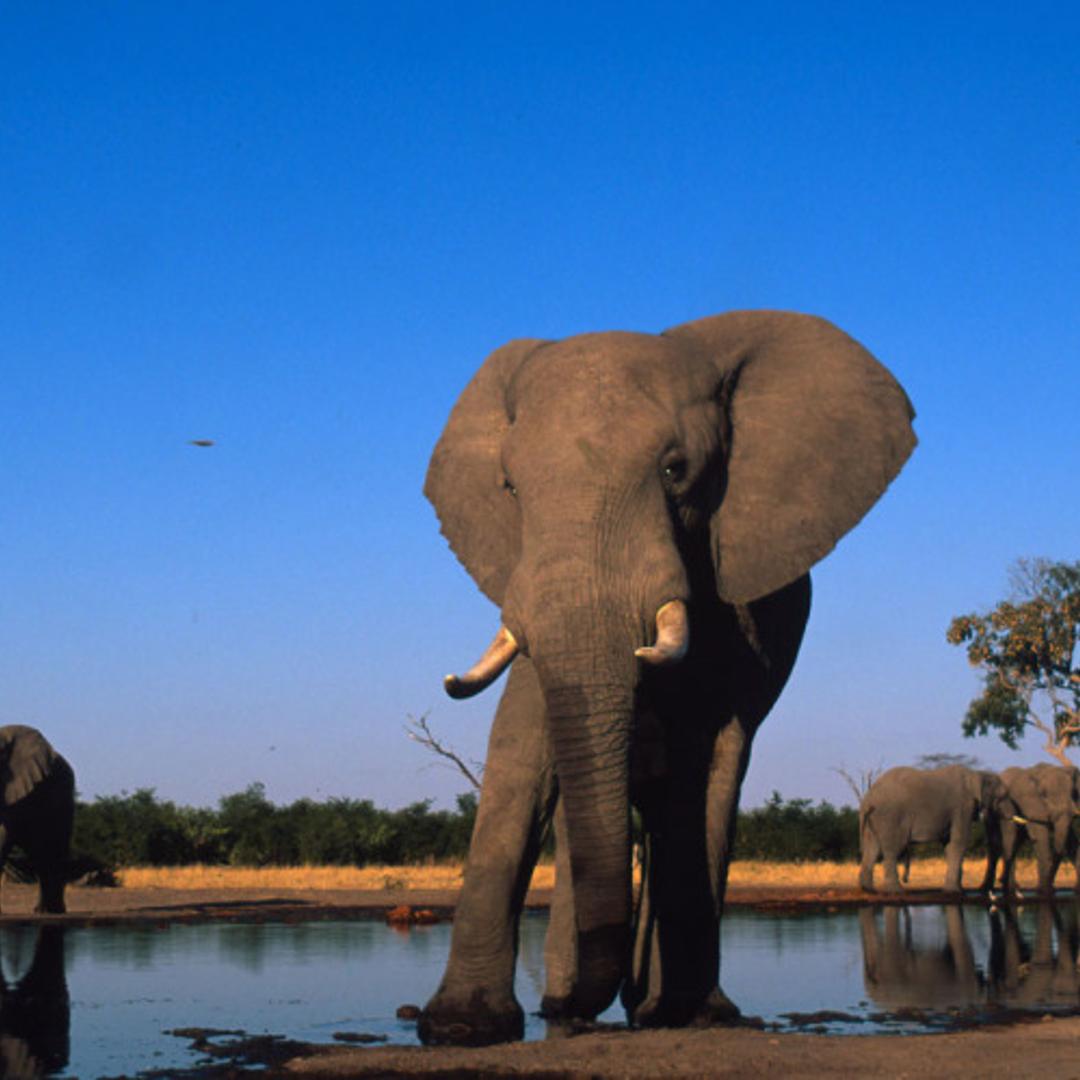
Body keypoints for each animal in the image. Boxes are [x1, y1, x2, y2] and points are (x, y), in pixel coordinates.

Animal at [420, 309, 915, 1044]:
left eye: (676, 470)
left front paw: (674, 1011)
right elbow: (522, 744)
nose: (582, 1001)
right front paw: (461, 1027)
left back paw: (674, 1008)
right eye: (510, 489)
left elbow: (698, 759)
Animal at [858, 765, 1007, 894]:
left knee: (872, 848)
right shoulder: (962, 807)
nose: (906, 879)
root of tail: (868, 799)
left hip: (874, 819)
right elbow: (959, 842)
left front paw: (956, 889)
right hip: (890, 817)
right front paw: (954, 892)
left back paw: (869, 890)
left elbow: (949, 844)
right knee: (892, 850)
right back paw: (895, 891)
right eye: (1002, 798)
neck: (978, 774)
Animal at [992, 763, 1080, 897]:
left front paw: (1075, 891)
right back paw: (1011, 889)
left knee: (1015, 844)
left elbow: (1071, 843)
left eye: (1073, 792)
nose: (1051, 884)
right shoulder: (1031, 804)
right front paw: (1045, 891)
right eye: (1044, 795)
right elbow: (1041, 836)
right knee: (1010, 840)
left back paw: (1013, 888)